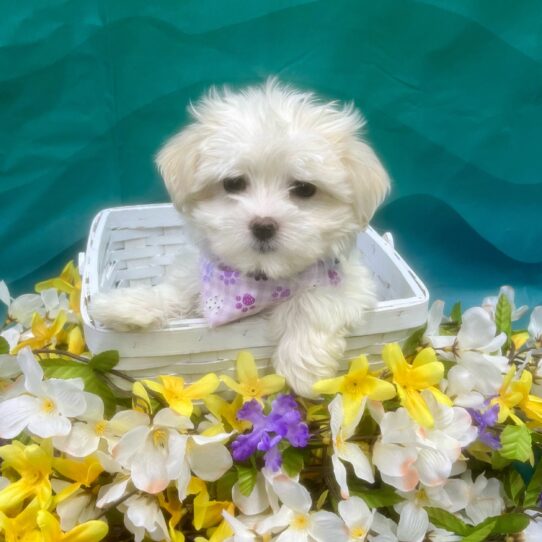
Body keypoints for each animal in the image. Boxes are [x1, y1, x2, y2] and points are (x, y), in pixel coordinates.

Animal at [92, 78, 392, 398]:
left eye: (304, 189)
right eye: (233, 183)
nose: (263, 225)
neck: (257, 279)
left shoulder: (351, 284)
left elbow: (315, 302)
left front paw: (301, 369)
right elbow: (177, 290)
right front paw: (128, 305)